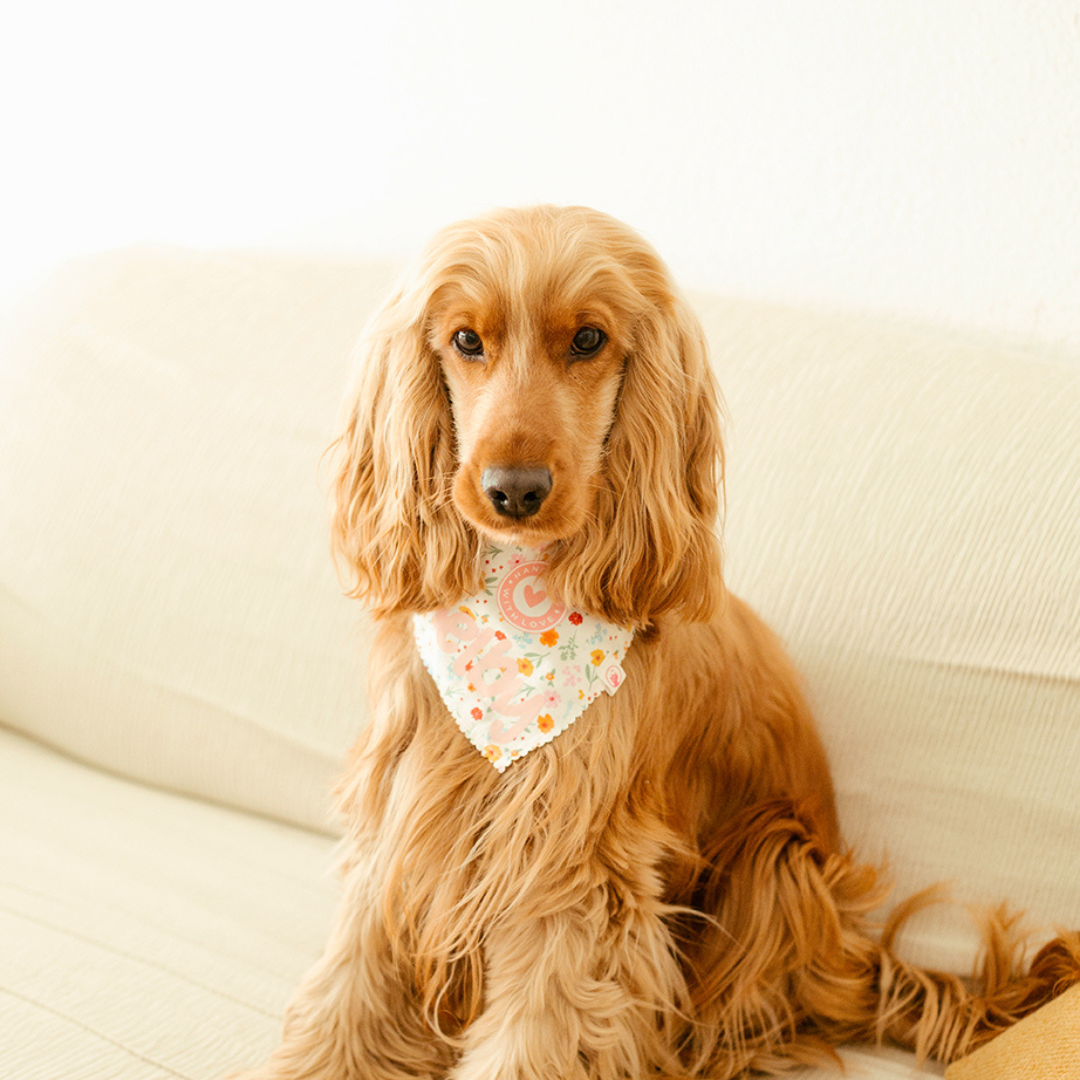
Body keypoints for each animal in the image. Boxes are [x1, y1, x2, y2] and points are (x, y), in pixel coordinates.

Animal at [238, 204, 1080, 1080]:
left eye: (588, 339)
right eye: (467, 340)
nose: (514, 491)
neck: (513, 617)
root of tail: (856, 957)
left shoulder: (575, 869)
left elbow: (537, 1032)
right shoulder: (404, 821)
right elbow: (349, 989)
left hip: (775, 860)